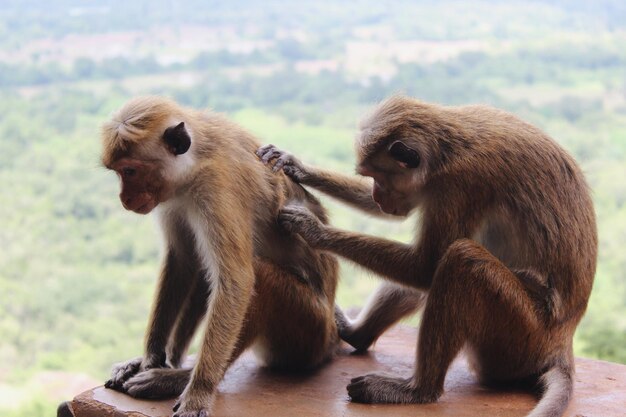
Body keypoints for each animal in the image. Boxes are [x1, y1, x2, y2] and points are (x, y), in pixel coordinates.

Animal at [100, 96, 342, 416]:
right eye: (119, 172)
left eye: (130, 171)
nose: (124, 199)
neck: (195, 164)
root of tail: (332, 339)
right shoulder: (173, 198)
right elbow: (182, 261)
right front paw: (150, 357)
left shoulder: (217, 189)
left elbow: (236, 281)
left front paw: (198, 392)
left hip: (309, 329)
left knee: (259, 276)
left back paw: (181, 379)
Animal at [258, 94, 596, 416]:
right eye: (370, 177)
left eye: (379, 175)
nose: (378, 195)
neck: (447, 149)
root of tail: (560, 345)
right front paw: (297, 166)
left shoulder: (459, 184)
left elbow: (426, 265)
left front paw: (313, 230)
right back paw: (357, 335)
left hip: (519, 335)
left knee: (459, 259)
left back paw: (419, 391)